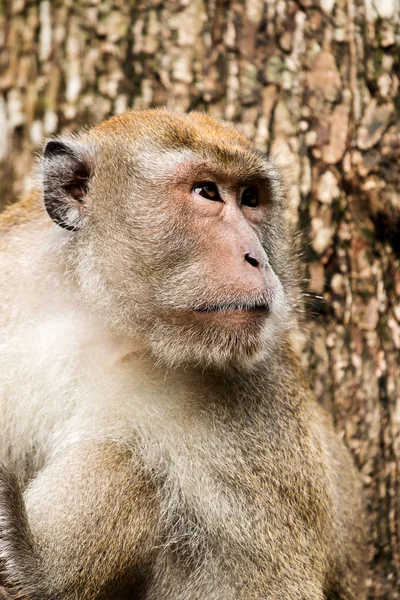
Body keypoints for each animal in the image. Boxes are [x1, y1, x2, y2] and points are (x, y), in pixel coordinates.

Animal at [0, 109, 368, 600]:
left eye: (251, 199)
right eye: (206, 192)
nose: (256, 258)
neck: (108, 321)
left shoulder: (257, 404)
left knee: (128, 460)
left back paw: (34, 567)